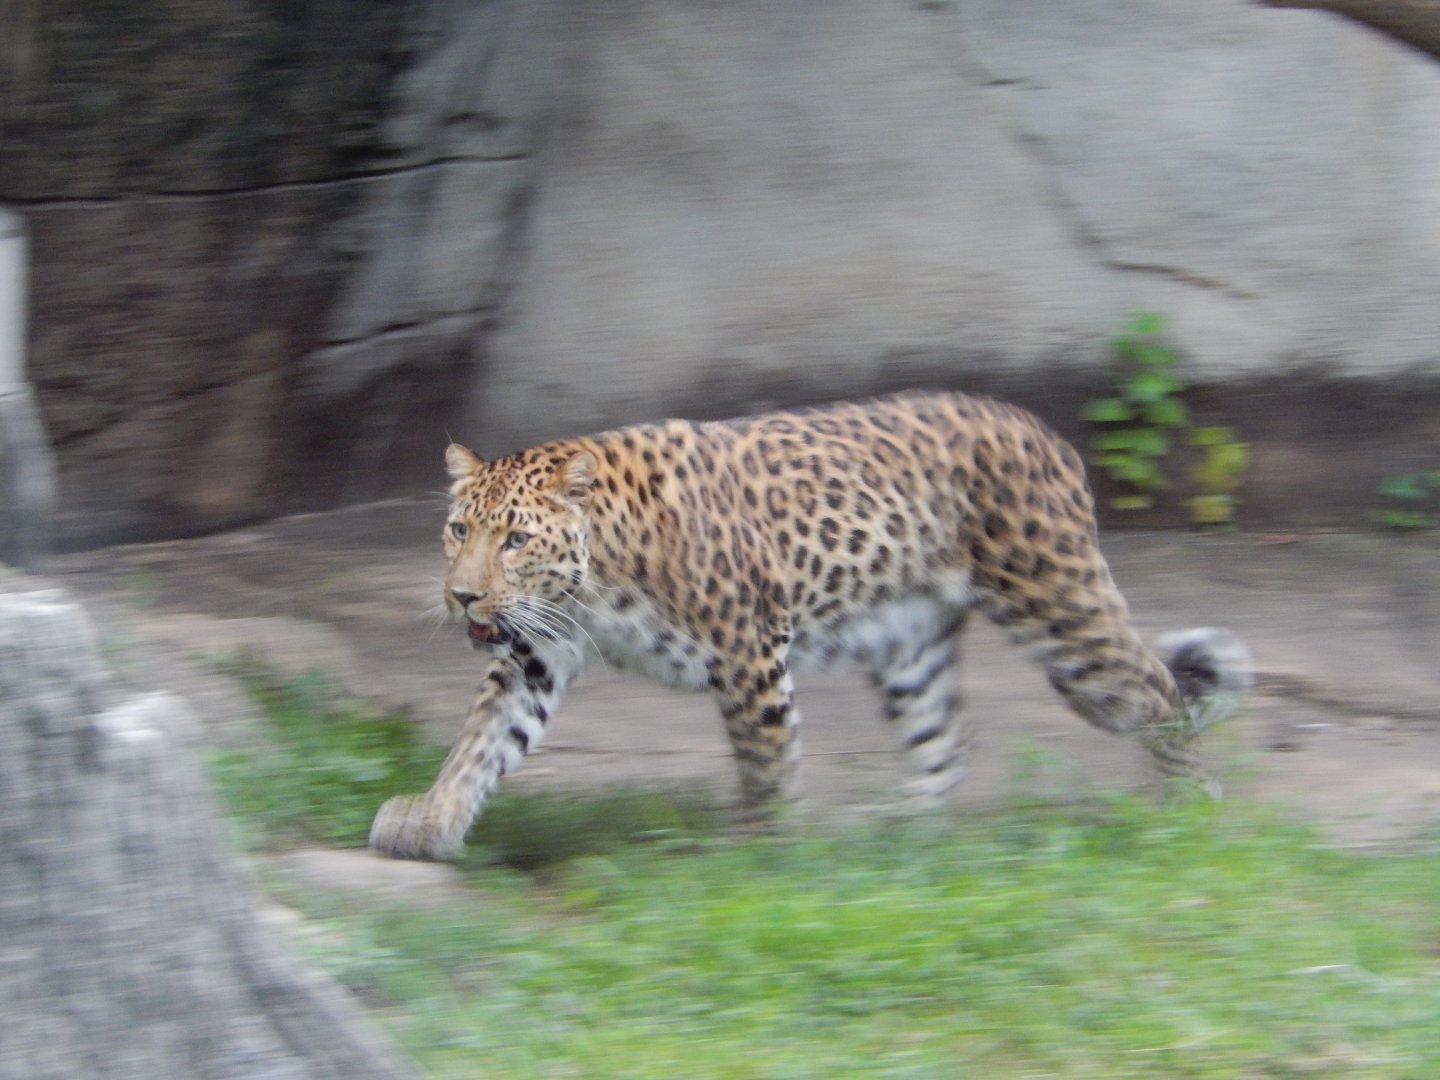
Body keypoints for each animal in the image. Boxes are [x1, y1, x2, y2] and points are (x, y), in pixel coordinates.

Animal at [369, 390, 1252, 861]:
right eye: (459, 530)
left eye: (515, 540)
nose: (462, 597)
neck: (597, 578)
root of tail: (1046, 433)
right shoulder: (535, 654)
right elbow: (482, 741)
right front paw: (430, 821)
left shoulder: (747, 649)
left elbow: (766, 759)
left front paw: (762, 856)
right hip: (908, 641)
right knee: (946, 740)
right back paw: (896, 837)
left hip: (1058, 607)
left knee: (1157, 687)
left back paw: (1192, 809)